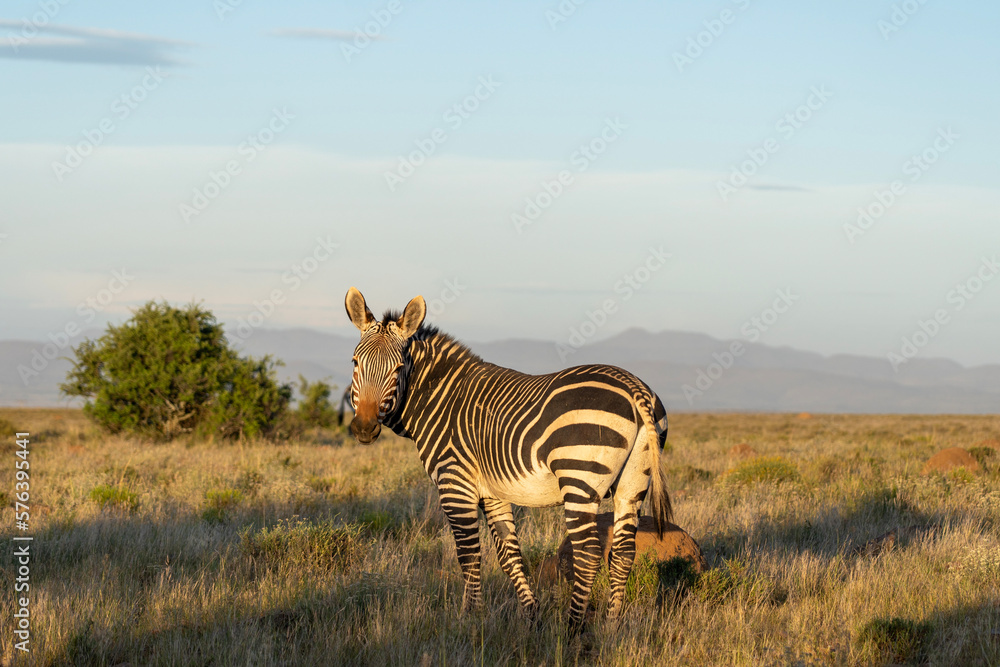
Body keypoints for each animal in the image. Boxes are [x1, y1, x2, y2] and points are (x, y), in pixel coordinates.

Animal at [344, 287, 672, 626]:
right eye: (355, 363)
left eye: (398, 369)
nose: (364, 428)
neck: (440, 399)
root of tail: (634, 388)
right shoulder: (493, 493)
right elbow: (509, 555)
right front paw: (531, 616)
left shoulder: (455, 484)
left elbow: (469, 555)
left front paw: (469, 618)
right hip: (632, 483)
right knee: (623, 552)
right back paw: (612, 625)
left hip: (580, 478)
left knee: (588, 555)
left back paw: (572, 628)